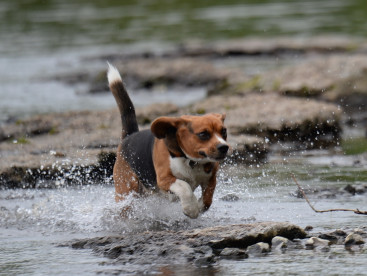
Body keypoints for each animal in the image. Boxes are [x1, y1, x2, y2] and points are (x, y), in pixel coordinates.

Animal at [106, 63, 229, 219]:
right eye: (203, 134)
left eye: (224, 131)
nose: (224, 147)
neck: (191, 160)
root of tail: (129, 136)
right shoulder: (164, 179)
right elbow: (184, 186)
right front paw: (191, 208)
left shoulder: (211, 178)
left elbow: (208, 199)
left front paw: (200, 205)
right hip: (127, 190)